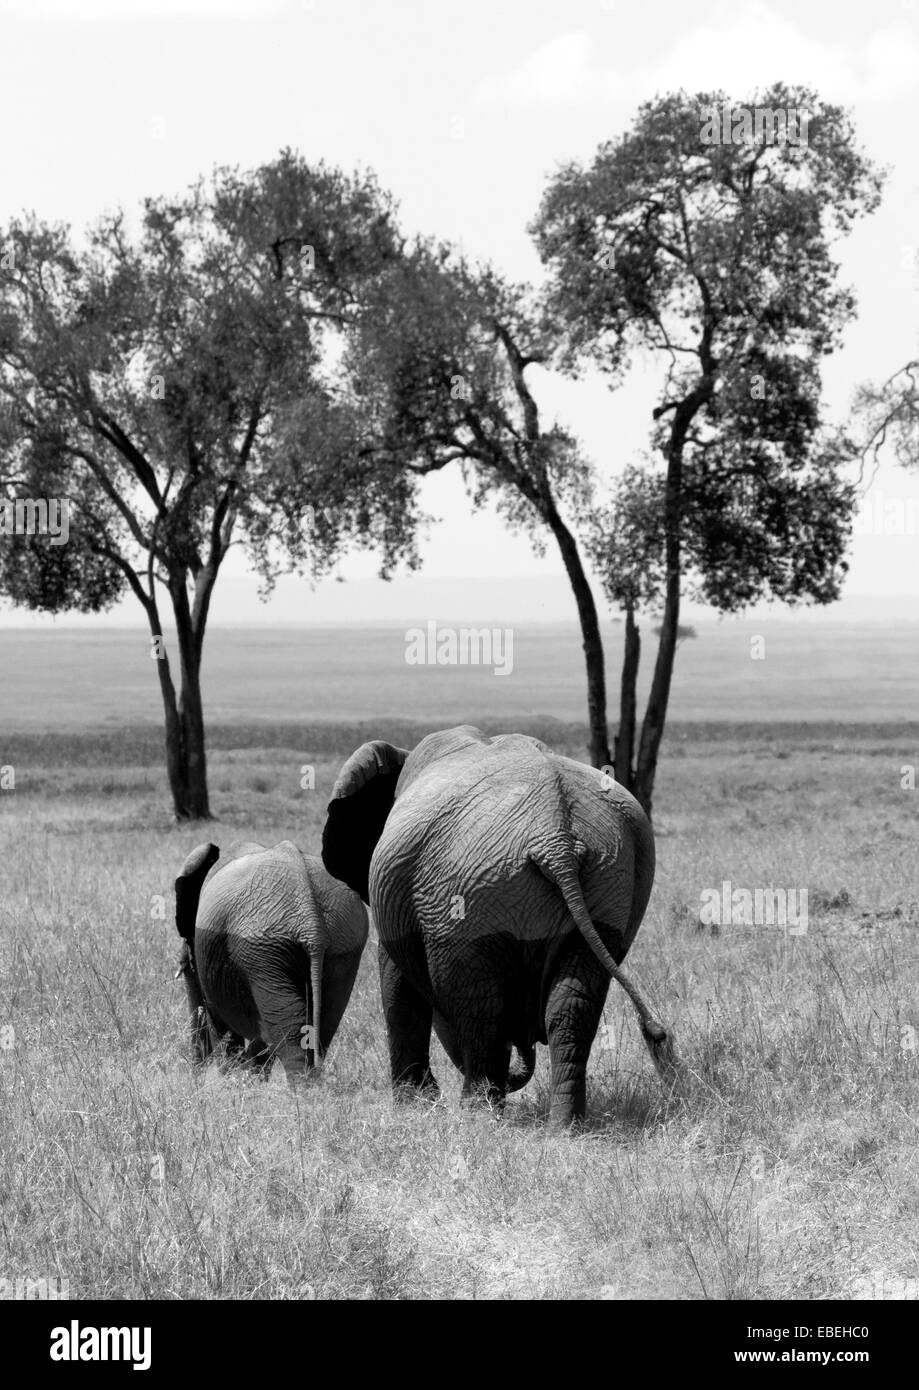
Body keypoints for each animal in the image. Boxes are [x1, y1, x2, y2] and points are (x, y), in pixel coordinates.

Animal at [173, 839, 367, 1078]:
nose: (196, 1074)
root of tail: (311, 923)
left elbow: (220, 1021)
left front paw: (232, 1080)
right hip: (343, 947)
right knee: (322, 1023)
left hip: (262, 950)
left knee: (287, 1030)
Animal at [321, 728, 672, 1128]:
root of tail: (556, 838)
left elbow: (397, 985)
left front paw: (415, 1105)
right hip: (609, 882)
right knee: (570, 1006)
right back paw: (564, 1128)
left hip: (467, 891)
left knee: (480, 1008)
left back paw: (477, 1117)